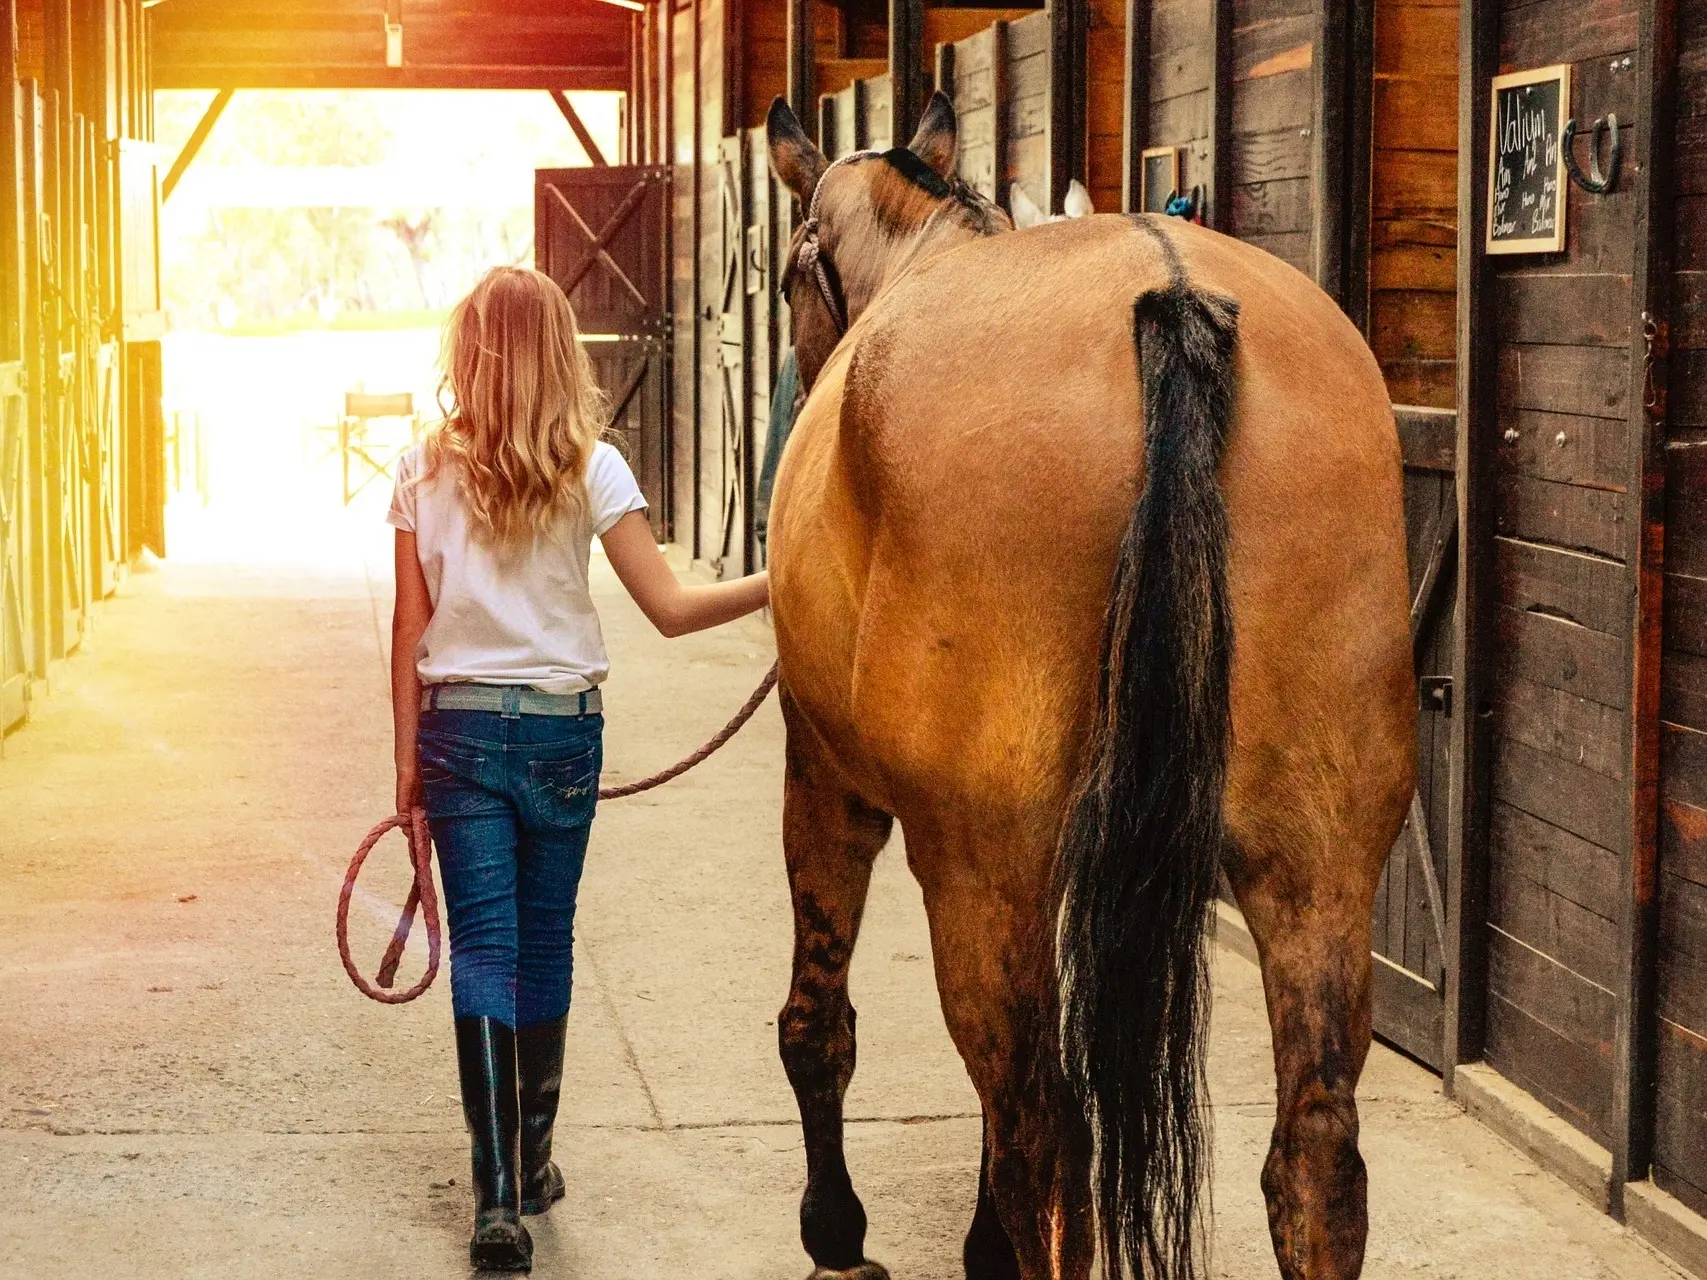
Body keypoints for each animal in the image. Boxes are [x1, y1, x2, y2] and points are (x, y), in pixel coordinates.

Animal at [761, 92, 1413, 1280]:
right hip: (1320, 866)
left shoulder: (825, 777)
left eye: (791, 274)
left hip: (981, 868)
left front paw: (836, 1231)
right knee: (1314, 1157)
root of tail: (1170, 295)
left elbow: (816, 1024)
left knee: (1045, 1138)